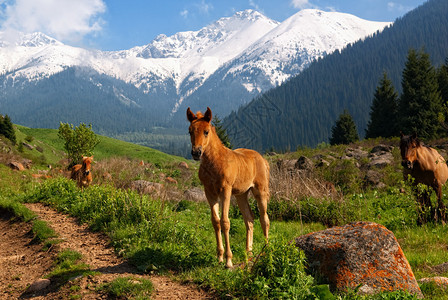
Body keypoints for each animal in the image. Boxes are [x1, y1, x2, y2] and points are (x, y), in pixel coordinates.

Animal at [186, 106, 270, 268]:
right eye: (190, 131)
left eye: (206, 131)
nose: (196, 152)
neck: (215, 162)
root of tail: (263, 159)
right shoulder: (209, 192)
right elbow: (215, 221)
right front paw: (219, 257)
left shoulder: (226, 191)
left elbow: (225, 222)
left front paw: (228, 261)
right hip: (241, 194)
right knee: (249, 219)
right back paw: (248, 254)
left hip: (260, 191)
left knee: (264, 219)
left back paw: (266, 250)